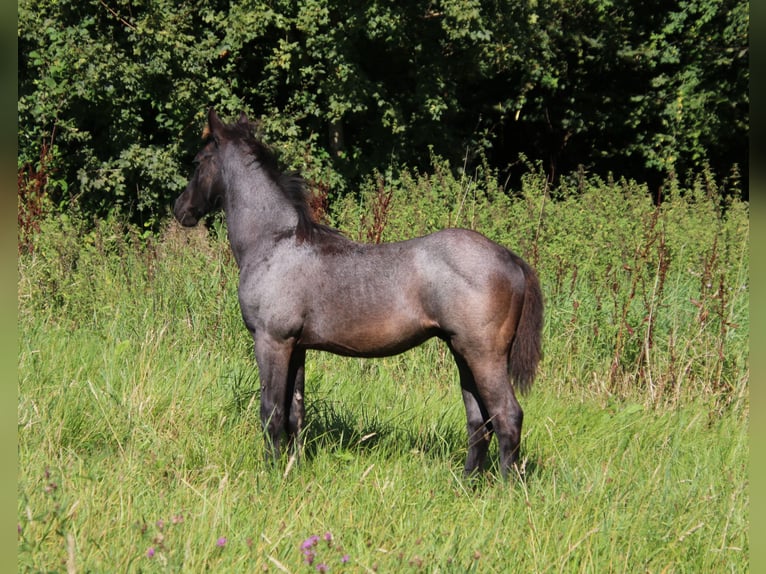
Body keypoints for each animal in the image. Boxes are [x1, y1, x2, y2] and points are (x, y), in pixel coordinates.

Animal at [176, 109, 544, 482]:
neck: (274, 243)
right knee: (479, 420)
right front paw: (293, 468)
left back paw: (505, 486)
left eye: (198, 161)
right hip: (462, 352)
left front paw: (271, 473)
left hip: (484, 355)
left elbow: (271, 412)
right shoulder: (296, 347)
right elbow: (295, 412)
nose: (181, 209)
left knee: (507, 416)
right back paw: (467, 483)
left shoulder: (272, 341)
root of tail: (509, 258)